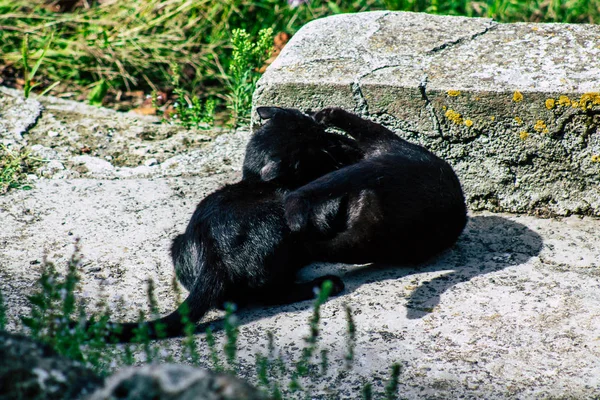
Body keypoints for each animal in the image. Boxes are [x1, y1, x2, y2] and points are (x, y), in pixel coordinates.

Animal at [101, 105, 364, 340]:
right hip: (277, 234)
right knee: (273, 293)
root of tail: (211, 256)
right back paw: (325, 284)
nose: (334, 143)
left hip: (176, 242)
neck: (255, 181)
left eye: (322, 133)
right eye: (317, 148)